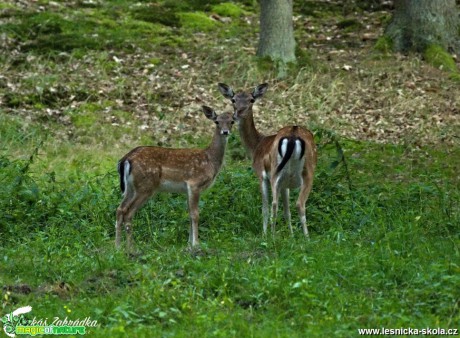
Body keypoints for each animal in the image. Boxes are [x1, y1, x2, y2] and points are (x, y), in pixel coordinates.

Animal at [114, 107, 235, 250]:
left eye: (232, 121)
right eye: (217, 121)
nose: (225, 131)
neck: (210, 160)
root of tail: (125, 159)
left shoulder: (187, 189)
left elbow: (189, 213)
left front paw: (189, 244)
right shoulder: (194, 183)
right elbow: (195, 214)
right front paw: (196, 244)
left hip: (131, 188)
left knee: (120, 209)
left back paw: (117, 246)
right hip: (145, 186)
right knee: (128, 212)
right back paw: (131, 248)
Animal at [218, 84, 316, 238]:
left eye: (251, 100)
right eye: (233, 99)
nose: (239, 112)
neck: (256, 146)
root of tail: (293, 135)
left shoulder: (261, 174)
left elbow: (264, 207)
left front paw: (264, 234)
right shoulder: (285, 184)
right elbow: (287, 211)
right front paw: (291, 236)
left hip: (280, 171)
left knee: (278, 203)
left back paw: (277, 237)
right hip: (300, 172)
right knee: (295, 204)